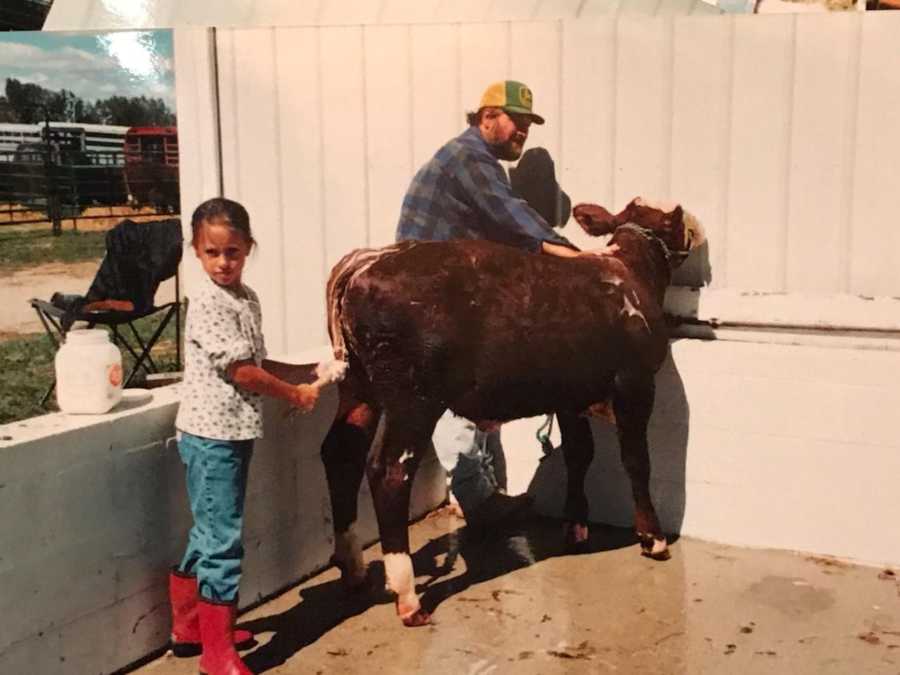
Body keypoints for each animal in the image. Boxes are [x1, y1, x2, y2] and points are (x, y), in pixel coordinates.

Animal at [314, 198, 704, 624]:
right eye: (675, 219)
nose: (697, 230)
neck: (629, 275)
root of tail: (370, 258)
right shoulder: (635, 384)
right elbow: (636, 462)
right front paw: (653, 538)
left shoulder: (570, 397)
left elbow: (579, 456)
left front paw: (576, 528)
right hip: (412, 400)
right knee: (389, 471)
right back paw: (408, 595)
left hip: (359, 389)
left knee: (341, 454)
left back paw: (353, 569)